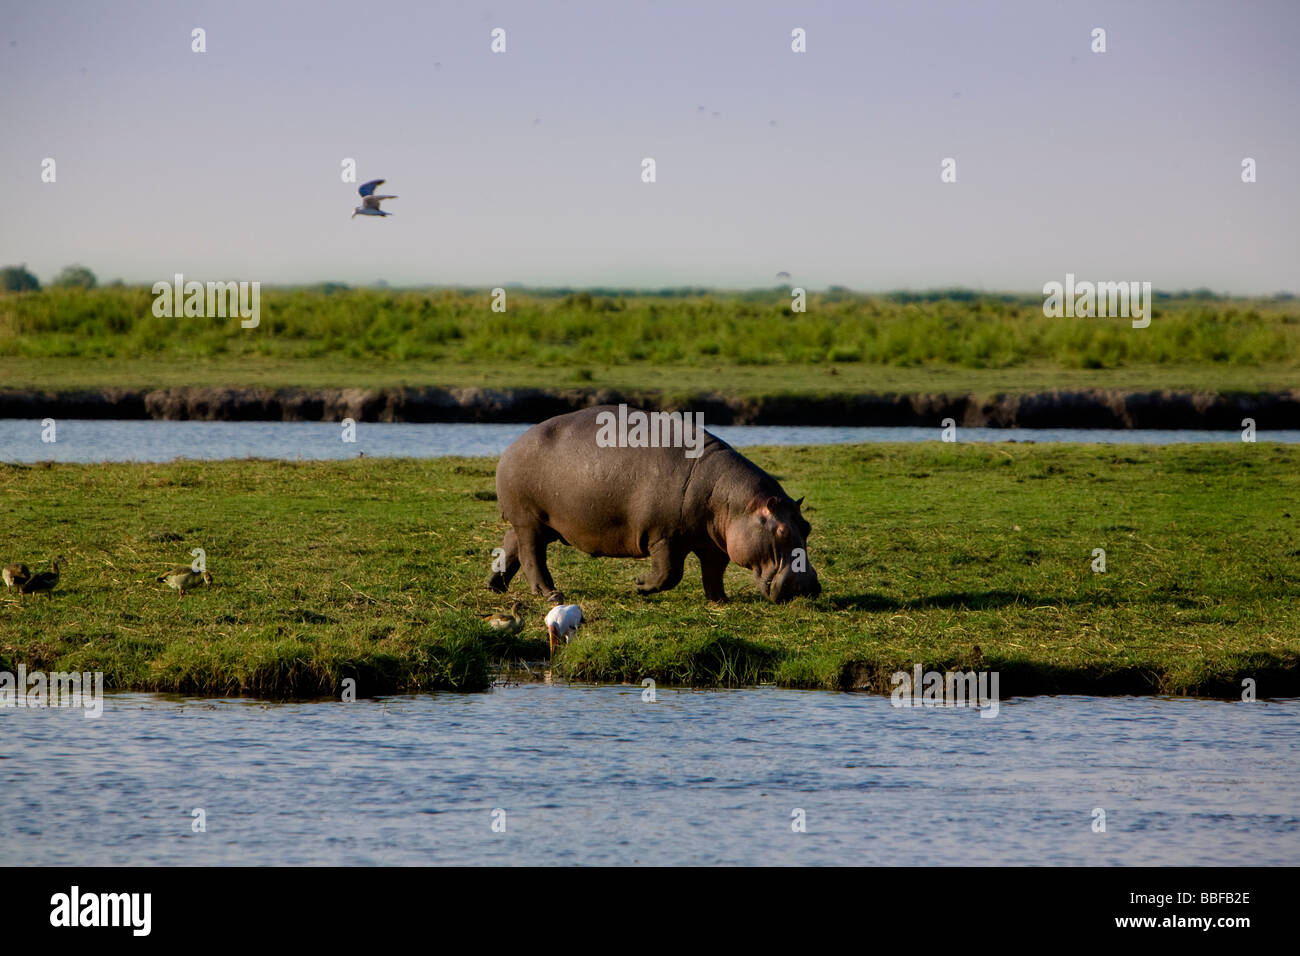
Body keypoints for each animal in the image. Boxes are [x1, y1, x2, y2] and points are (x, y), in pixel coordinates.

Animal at [488, 405, 821, 606]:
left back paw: (495, 586)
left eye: (806, 527)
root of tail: (513, 445)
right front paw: (639, 585)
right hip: (530, 519)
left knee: (511, 543)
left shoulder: (713, 543)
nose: (809, 588)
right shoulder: (664, 536)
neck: (733, 501)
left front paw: (720, 601)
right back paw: (552, 595)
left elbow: (714, 572)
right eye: (781, 531)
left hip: (539, 523)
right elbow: (669, 574)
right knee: (532, 556)